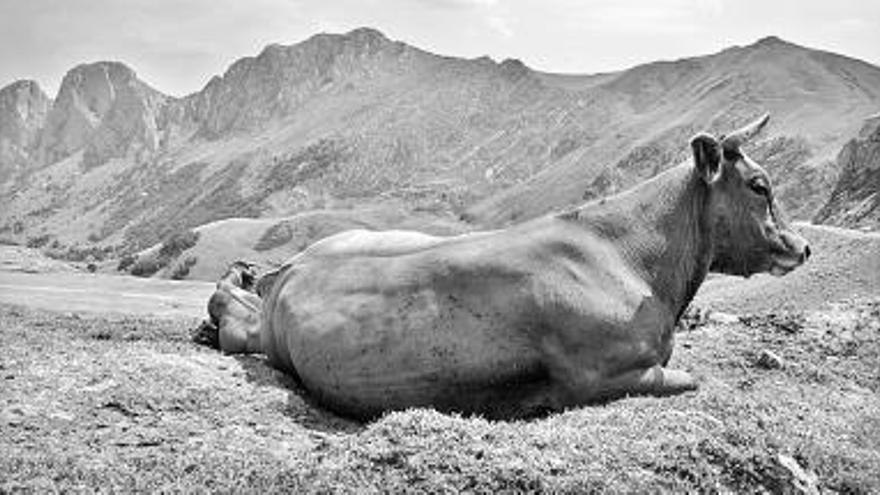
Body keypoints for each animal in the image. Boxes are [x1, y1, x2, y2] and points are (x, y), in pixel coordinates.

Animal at [253, 114, 804, 420]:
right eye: (759, 185)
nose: (803, 246)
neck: (639, 267)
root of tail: (292, 270)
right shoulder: (602, 375)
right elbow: (692, 379)